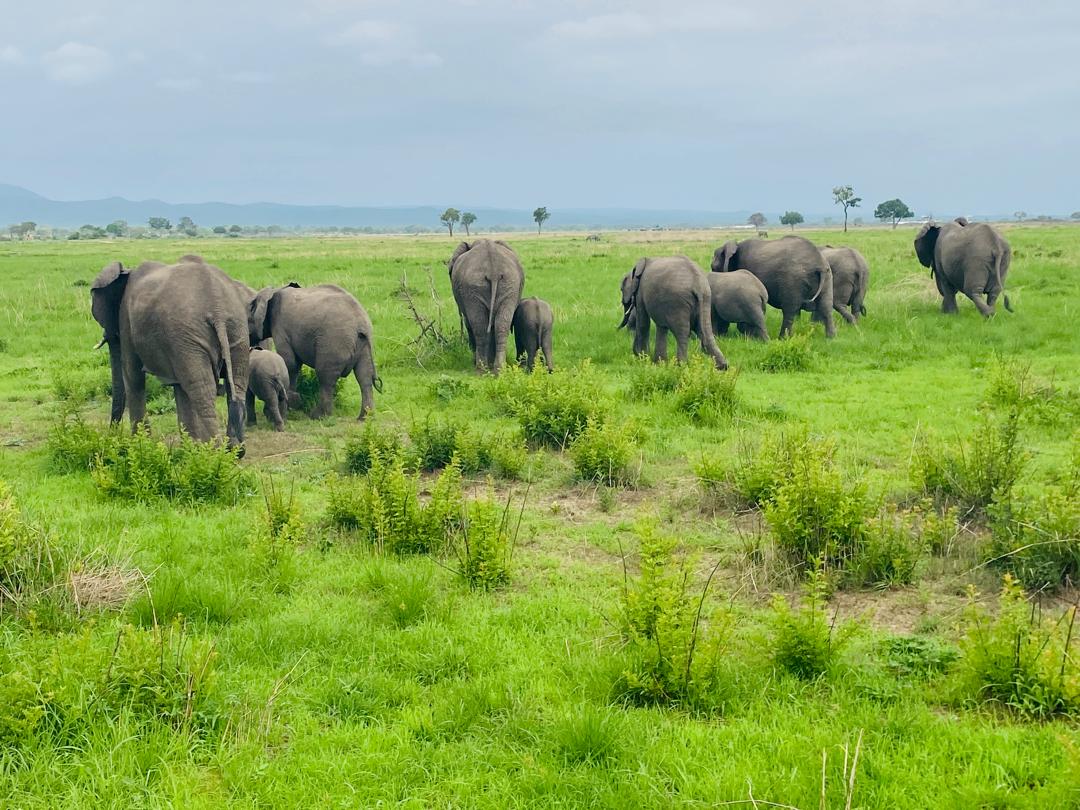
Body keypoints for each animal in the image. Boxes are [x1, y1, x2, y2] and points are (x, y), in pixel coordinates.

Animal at [90, 254, 254, 449]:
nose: (111, 435)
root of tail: (218, 310)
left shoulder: (126, 320)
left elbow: (133, 376)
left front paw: (141, 446)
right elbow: (179, 388)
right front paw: (190, 448)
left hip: (188, 334)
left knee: (202, 389)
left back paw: (214, 452)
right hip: (235, 329)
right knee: (236, 382)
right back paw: (234, 451)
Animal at [250, 283, 381, 419]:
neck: (275, 289)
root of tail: (361, 323)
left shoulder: (280, 327)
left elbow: (290, 363)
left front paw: (289, 406)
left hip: (334, 340)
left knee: (326, 377)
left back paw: (318, 416)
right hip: (363, 343)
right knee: (364, 377)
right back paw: (364, 418)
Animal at [448, 239, 525, 374]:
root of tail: (493, 271)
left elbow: (469, 324)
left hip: (473, 288)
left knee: (479, 326)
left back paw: (481, 369)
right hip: (509, 284)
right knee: (501, 324)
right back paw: (499, 370)